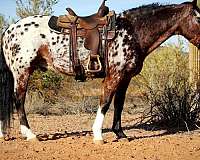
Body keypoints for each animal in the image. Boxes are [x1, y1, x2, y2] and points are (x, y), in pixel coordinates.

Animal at [0, 0, 200, 144]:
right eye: (198, 18)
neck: (132, 32)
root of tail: (9, 29)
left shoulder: (125, 78)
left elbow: (119, 104)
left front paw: (120, 134)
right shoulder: (114, 76)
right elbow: (105, 102)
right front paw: (98, 135)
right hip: (22, 72)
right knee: (19, 100)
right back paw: (30, 135)